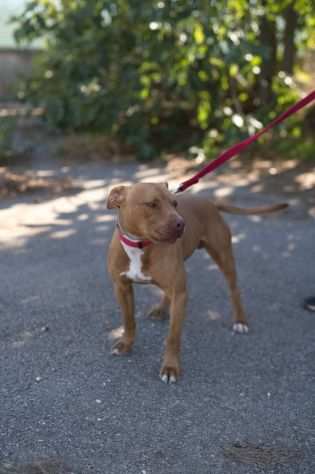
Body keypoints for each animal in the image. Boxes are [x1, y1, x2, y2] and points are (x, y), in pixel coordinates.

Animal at [107, 183, 288, 384]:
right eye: (152, 204)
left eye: (175, 203)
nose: (181, 223)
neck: (139, 246)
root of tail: (210, 203)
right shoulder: (121, 288)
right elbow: (128, 320)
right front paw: (126, 344)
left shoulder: (180, 295)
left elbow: (173, 337)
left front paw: (170, 367)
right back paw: (161, 309)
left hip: (224, 258)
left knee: (234, 290)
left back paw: (240, 321)